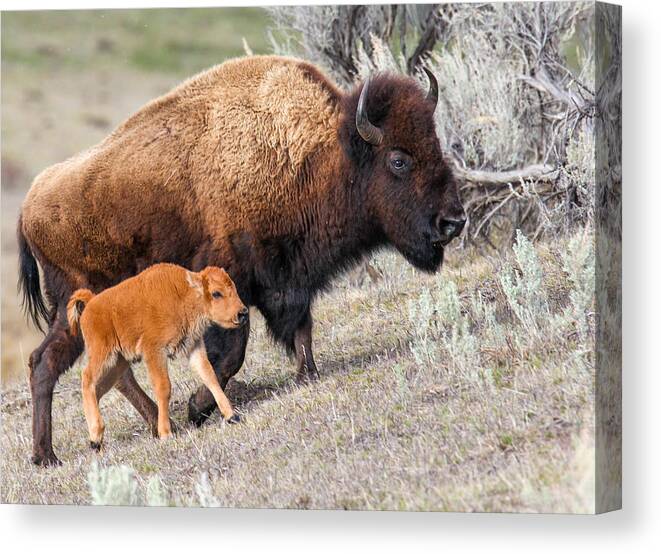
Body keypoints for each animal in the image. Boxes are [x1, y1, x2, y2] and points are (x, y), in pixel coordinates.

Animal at [66, 260, 248, 446]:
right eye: (216, 293)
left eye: (233, 287)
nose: (242, 313)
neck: (184, 293)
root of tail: (91, 303)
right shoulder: (154, 352)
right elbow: (163, 387)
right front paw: (166, 433)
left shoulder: (194, 346)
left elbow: (209, 376)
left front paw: (232, 416)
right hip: (103, 355)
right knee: (87, 379)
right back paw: (95, 438)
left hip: (117, 363)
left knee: (100, 388)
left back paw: (97, 439)